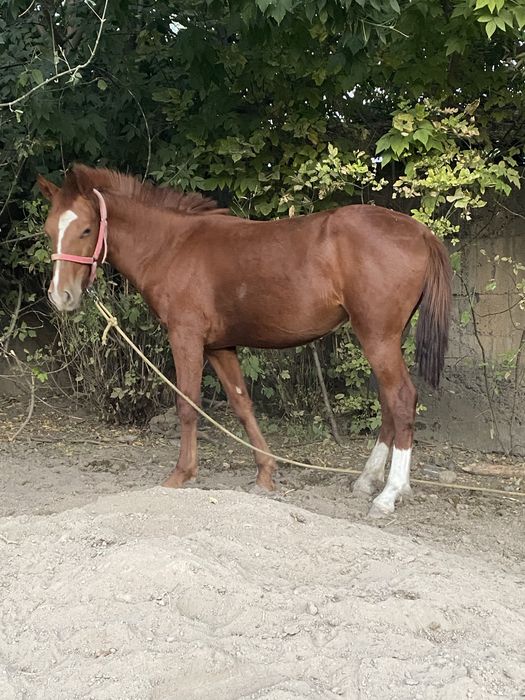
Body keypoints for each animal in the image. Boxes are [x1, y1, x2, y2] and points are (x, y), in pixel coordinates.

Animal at [37, 164, 452, 517]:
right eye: (49, 230)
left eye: (86, 230)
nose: (61, 297)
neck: (172, 245)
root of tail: (421, 232)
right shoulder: (219, 346)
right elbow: (242, 405)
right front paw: (265, 474)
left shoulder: (185, 336)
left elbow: (188, 404)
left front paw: (180, 475)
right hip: (385, 339)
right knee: (388, 401)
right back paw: (368, 480)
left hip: (377, 337)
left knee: (401, 399)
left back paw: (389, 494)